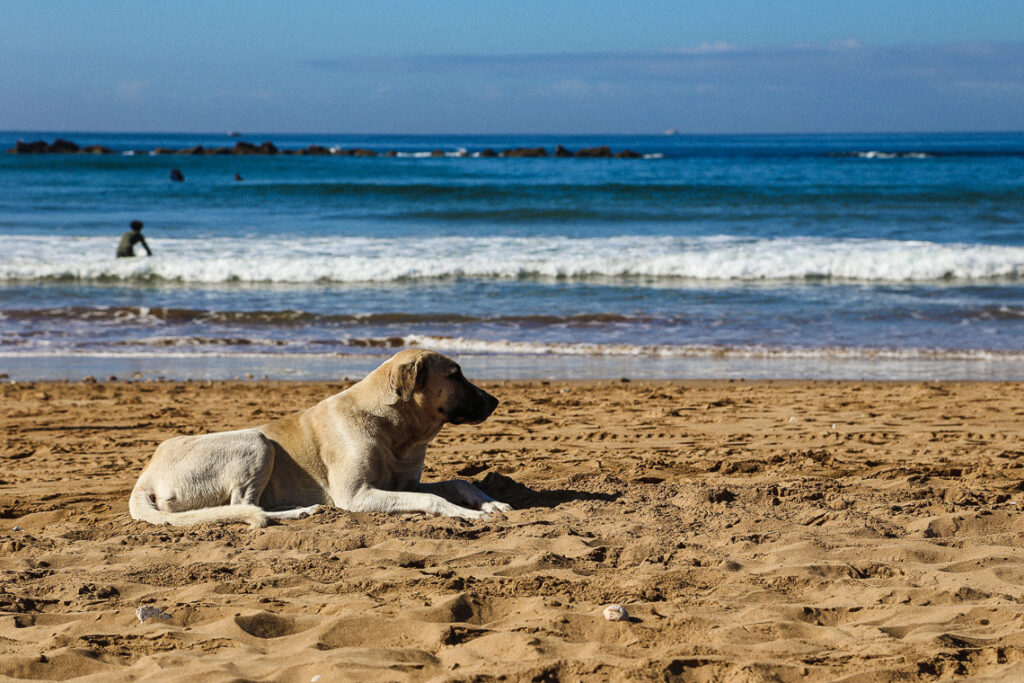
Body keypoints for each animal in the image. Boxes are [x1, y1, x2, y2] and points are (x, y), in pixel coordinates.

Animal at [129, 350, 512, 528]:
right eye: (455, 375)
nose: (496, 401)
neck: (395, 428)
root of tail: (145, 477)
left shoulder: (405, 483)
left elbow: (456, 482)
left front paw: (488, 502)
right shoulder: (357, 495)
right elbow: (434, 499)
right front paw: (466, 513)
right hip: (256, 441)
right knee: (244, 505)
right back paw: (299, 511)